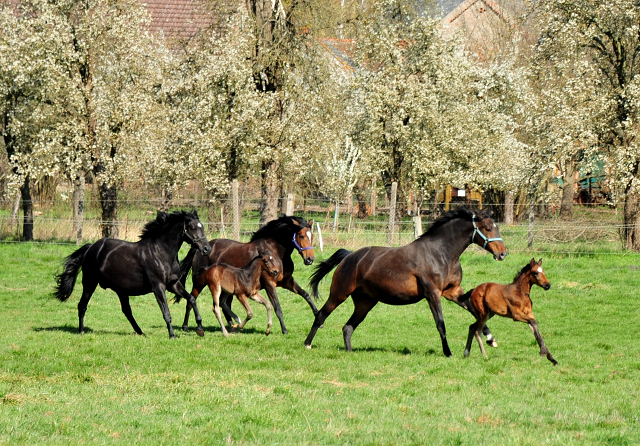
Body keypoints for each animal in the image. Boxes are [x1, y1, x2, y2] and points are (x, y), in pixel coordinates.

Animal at [53, 210, 210, 338]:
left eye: (202, 226)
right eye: (193, 227)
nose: (207, 249)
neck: (161, 253)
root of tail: (91, 248)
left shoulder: (173, 284)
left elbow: (191, 299)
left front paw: (200, 328)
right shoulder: (158, 287)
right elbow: (166, 312)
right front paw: (172, 335)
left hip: (121, 290)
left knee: (126, 311)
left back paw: (140, 332)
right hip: (90, 283)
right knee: (82, 305)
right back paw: (80, 332)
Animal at [180, 216, 316, 334]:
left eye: (312, 236)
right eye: (301, 236)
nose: (310, 259)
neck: (276, 252)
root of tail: (200, 249)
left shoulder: (287, 281)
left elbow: (306, 295)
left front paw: (317, 316)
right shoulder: (269, 283)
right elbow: (277, 307)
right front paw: (284, 330)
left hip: (226, 288)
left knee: (223, 305)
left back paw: (233, 326)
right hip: (199, 283)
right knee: (191, 300)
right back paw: (186, 326)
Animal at [304, 207, 504, 358]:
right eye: (487, 228)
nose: (502, 253)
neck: (441, 253)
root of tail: (350, 256)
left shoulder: (453, 292)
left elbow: (475, 311)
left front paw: (490, 338)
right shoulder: (433, 294)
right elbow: (440, 323)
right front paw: (447, 352)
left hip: (365, 302)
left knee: (348, 327)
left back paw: (350, 351)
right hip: (339, 294)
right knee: (321, 315)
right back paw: (307, 344)